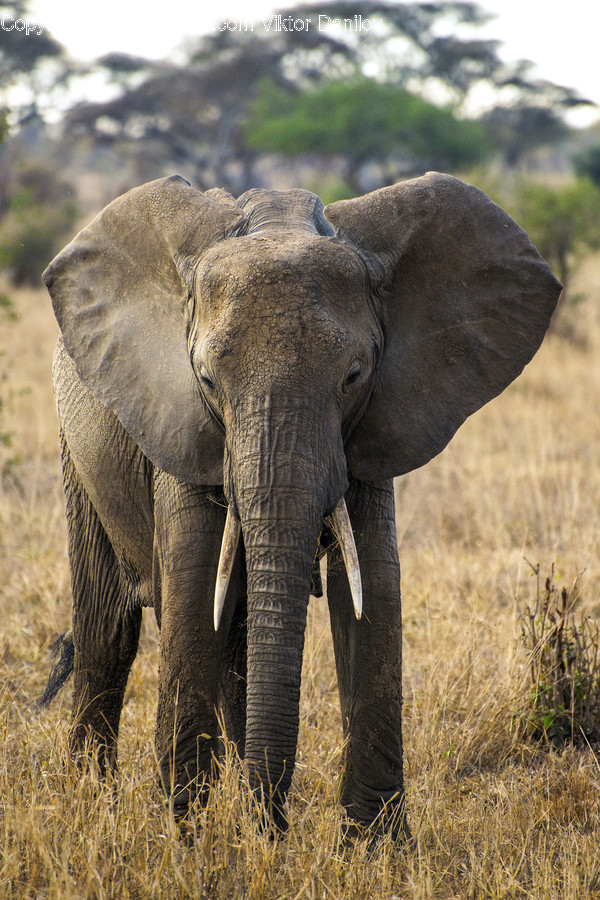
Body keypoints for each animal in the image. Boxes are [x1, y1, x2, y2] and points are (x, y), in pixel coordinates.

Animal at [42, 172, 561, 837]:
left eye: (355, 375)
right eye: (206, 379)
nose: (275, 827)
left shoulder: (375, 426)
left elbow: (373, 590)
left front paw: (374, 845)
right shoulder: (181, 422)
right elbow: (193, 588)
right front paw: (189, 840)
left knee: (236, 636)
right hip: (78, 445)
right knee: (108, 628)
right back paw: (92, 799)